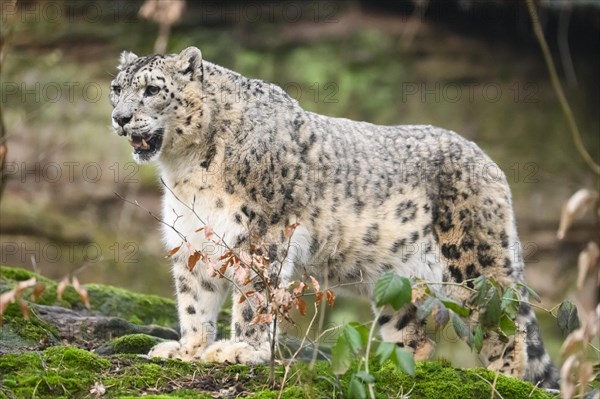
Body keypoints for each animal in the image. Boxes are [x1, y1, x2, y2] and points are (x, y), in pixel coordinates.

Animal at [110, 45, 560, 390]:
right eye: (116, 89)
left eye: (152, 89)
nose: (120, 118)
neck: (184, 171)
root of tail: (490, 163)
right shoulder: (192, 239)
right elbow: (194, 302)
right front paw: (187, 349)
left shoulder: (259, 237)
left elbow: (253, 301)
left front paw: (239, 350)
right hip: (399, 284)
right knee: (414, 336)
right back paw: (391, 369)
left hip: (473, 266)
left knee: (507, 330)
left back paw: (505, 380)